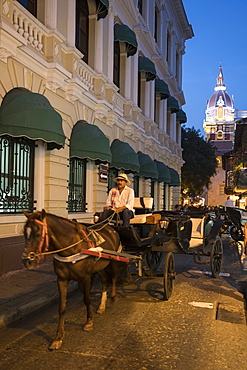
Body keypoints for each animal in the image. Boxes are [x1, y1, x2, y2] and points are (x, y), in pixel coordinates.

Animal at [21, 210, 120, 352]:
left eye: (38, 234)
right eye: (25, 232)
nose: (26, 261)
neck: (70, 248)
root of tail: (111, 228)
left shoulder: (85, 277)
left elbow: (87, 299)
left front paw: (89, 322)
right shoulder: (62, 279)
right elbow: (62, 307)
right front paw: (58, 337)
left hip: (113, 260)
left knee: (113, 277)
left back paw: (113, 296)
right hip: (99, 266)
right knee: (104, 281)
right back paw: (102, 306)